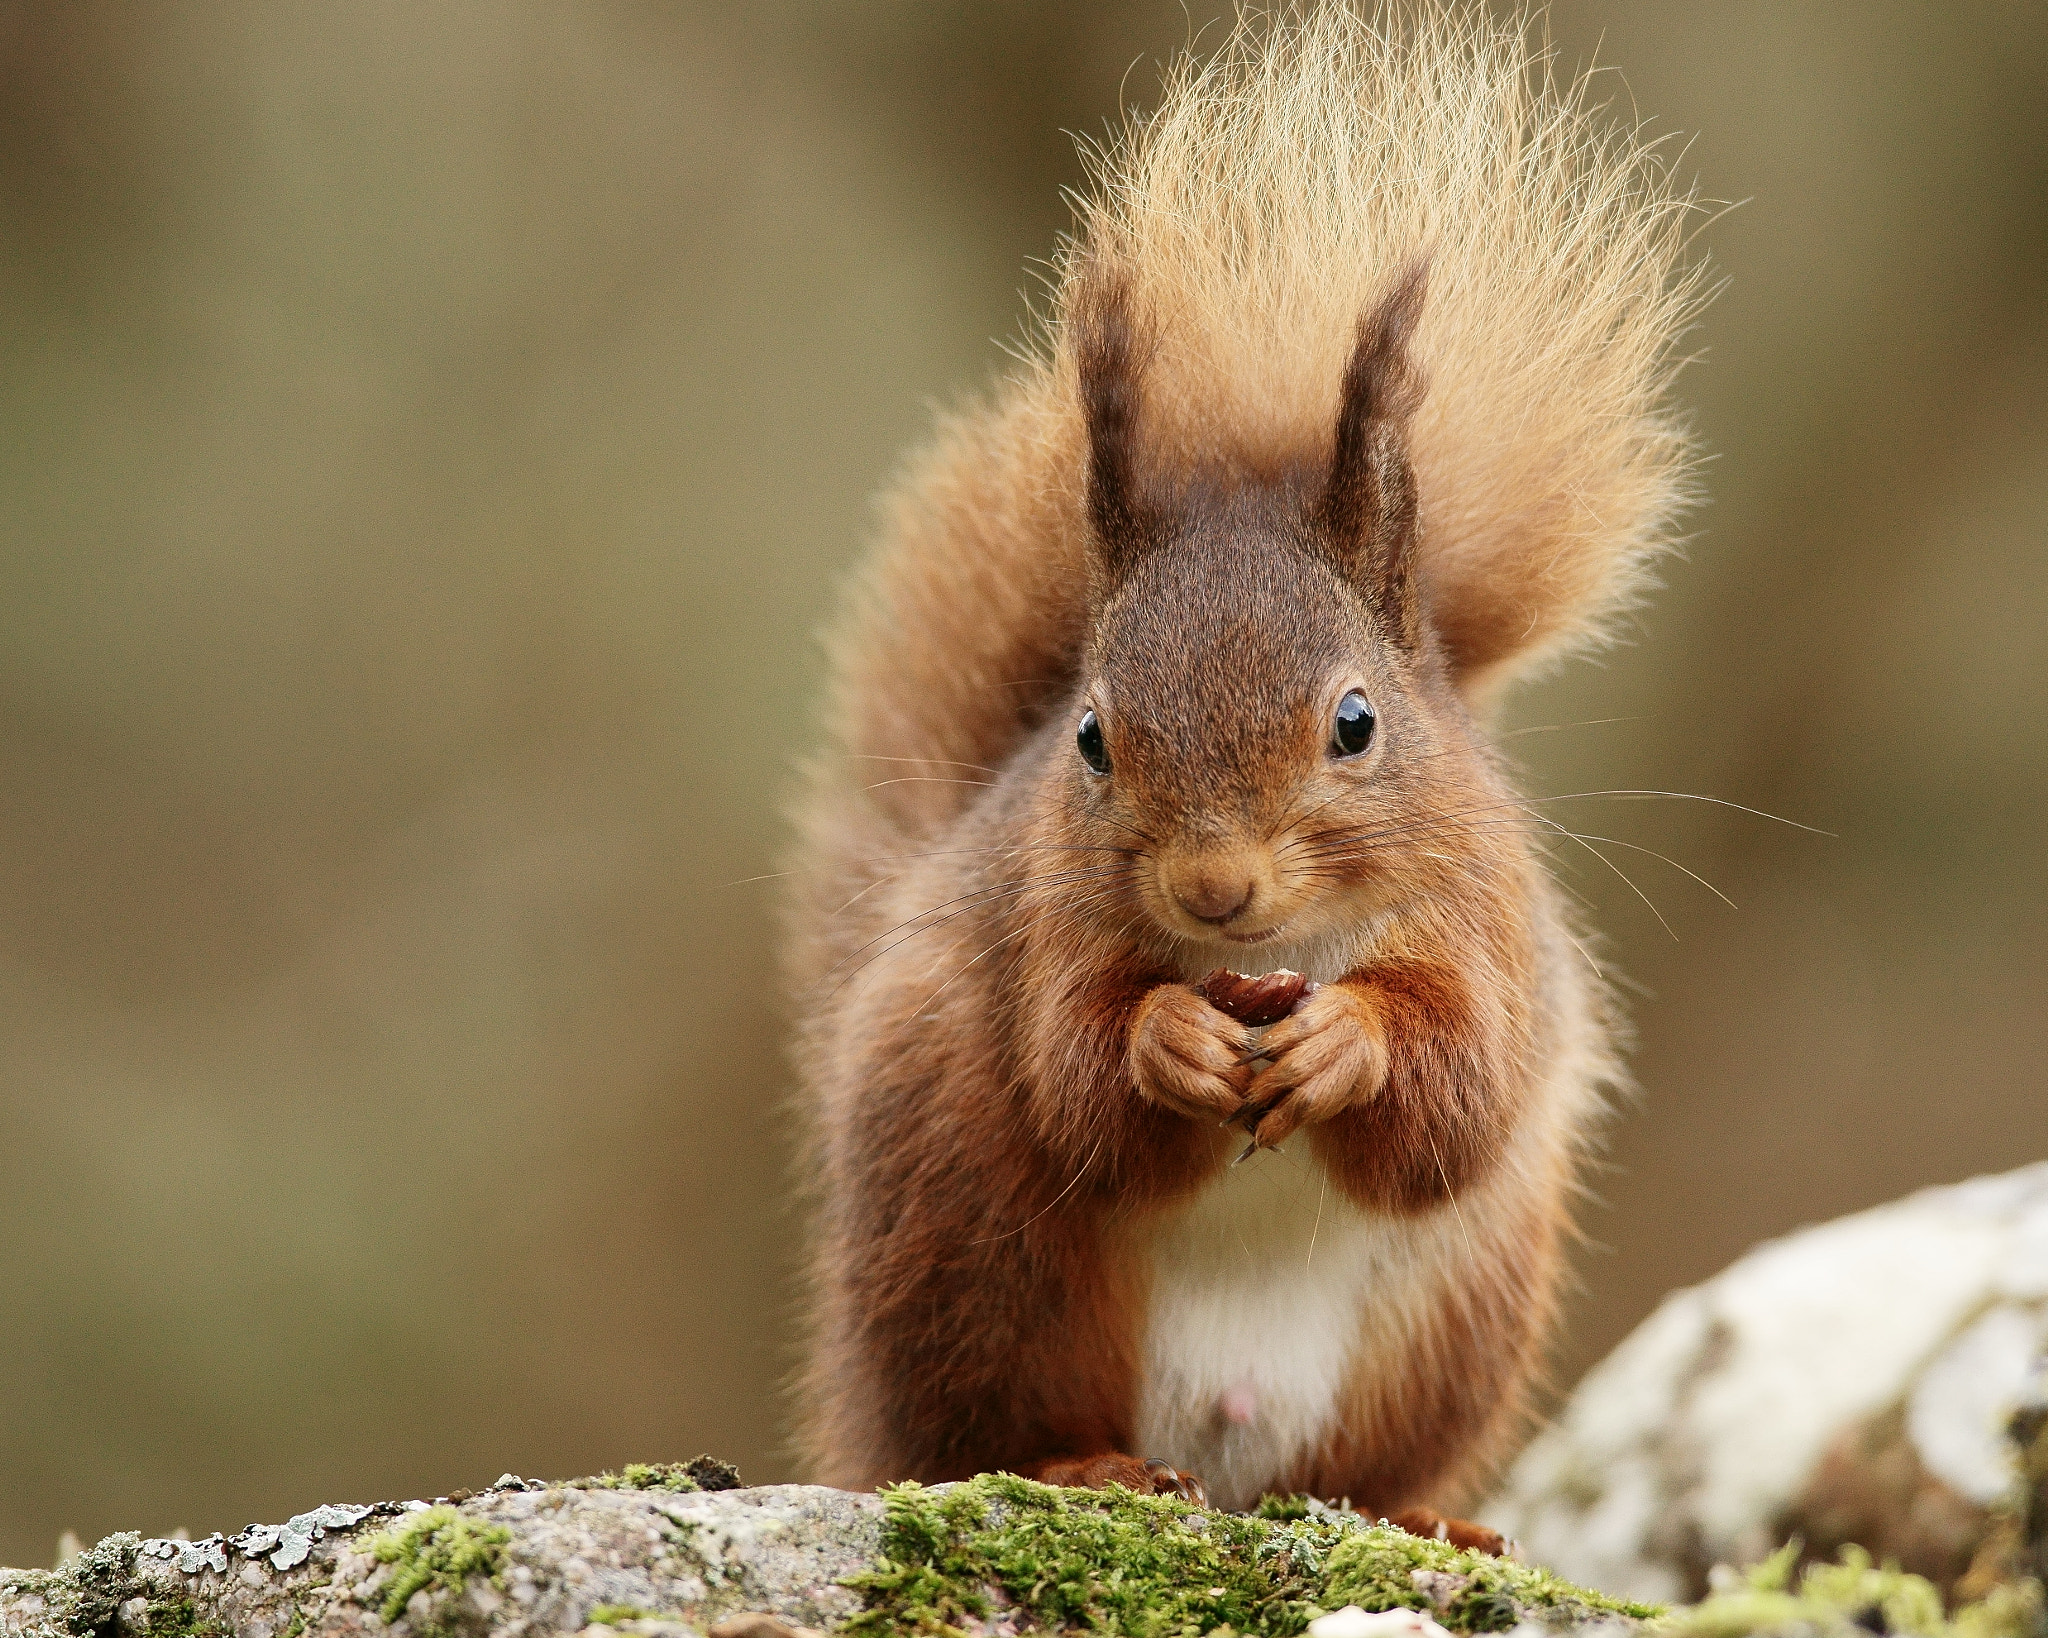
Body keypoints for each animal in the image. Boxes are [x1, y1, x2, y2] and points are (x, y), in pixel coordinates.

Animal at [778, 0, 1695, 1539]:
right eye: (1091, 737)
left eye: (1357, 722)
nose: (1213, 888)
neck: (1278, 952)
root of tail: (1217, 1457)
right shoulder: (1040, 928)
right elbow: (1080, 1087)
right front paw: (1169, 1040)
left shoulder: (1491, 924)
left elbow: (1460, 1093)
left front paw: (1347, 1041)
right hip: (983, 1254)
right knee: (979, 1431)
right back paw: (1079, 1465)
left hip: (1451, 1319)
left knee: (1364, 1463)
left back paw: (1414, 1512)